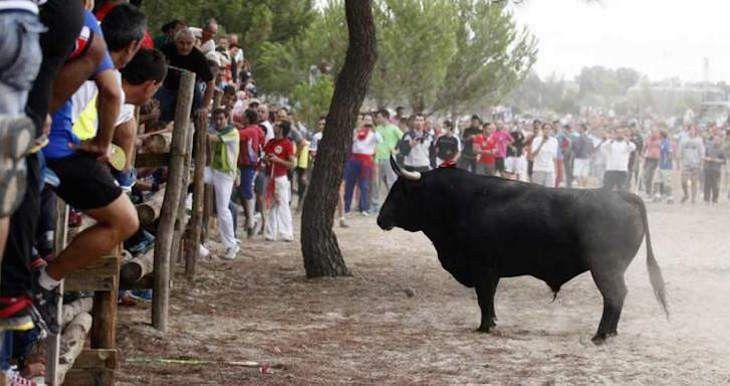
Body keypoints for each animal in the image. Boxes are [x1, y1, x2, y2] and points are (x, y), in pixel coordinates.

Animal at [378, 158, 668, 344]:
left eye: (399, 192)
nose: (381, 219)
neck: (455, 200)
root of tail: (621, 195)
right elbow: (488, 300)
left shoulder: (483, 270)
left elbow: (485, 299)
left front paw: (484, 327)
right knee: (617, 297)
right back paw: (610, 333)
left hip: (605, 269)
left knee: (614, 296)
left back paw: (600, 335)